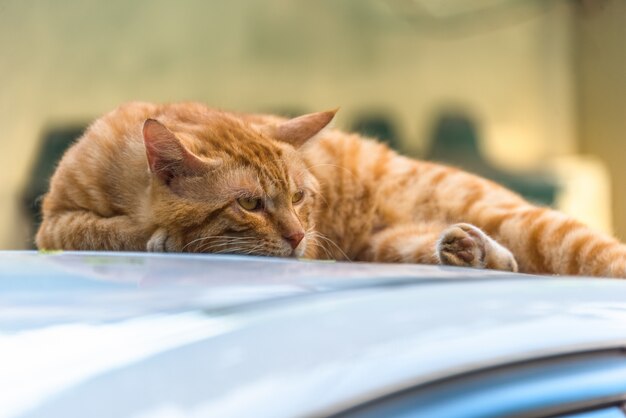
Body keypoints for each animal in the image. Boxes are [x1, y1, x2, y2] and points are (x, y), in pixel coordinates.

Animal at [36, 101, 624, 278]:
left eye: (298, 197)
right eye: (249, 203)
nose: (300, 237)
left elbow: (124, 233)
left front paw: (165, 238)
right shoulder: (54, 222)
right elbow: (98, 231)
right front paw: (156, 235)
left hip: (523, 220)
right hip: (389, 245)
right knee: (504, 262)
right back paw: (467, 250)